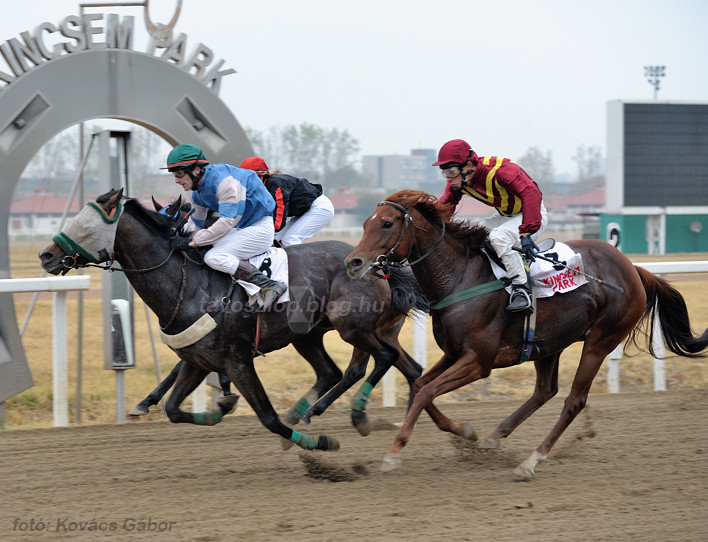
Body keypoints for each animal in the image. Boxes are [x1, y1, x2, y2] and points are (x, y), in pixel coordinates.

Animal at [344, 189, 708, 478]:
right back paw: (494, 437)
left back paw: (531, 461)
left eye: (386, 223)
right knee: (545, 390)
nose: (353, 262)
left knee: (573, 401)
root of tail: (633, 268)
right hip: (549, 343)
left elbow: (425, 392)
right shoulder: (453, 353)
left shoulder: (478, 361)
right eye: (365, 224)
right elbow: (421, 385)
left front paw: (394, 452)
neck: (461, 277)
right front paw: (465, 431)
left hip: (599, 340)